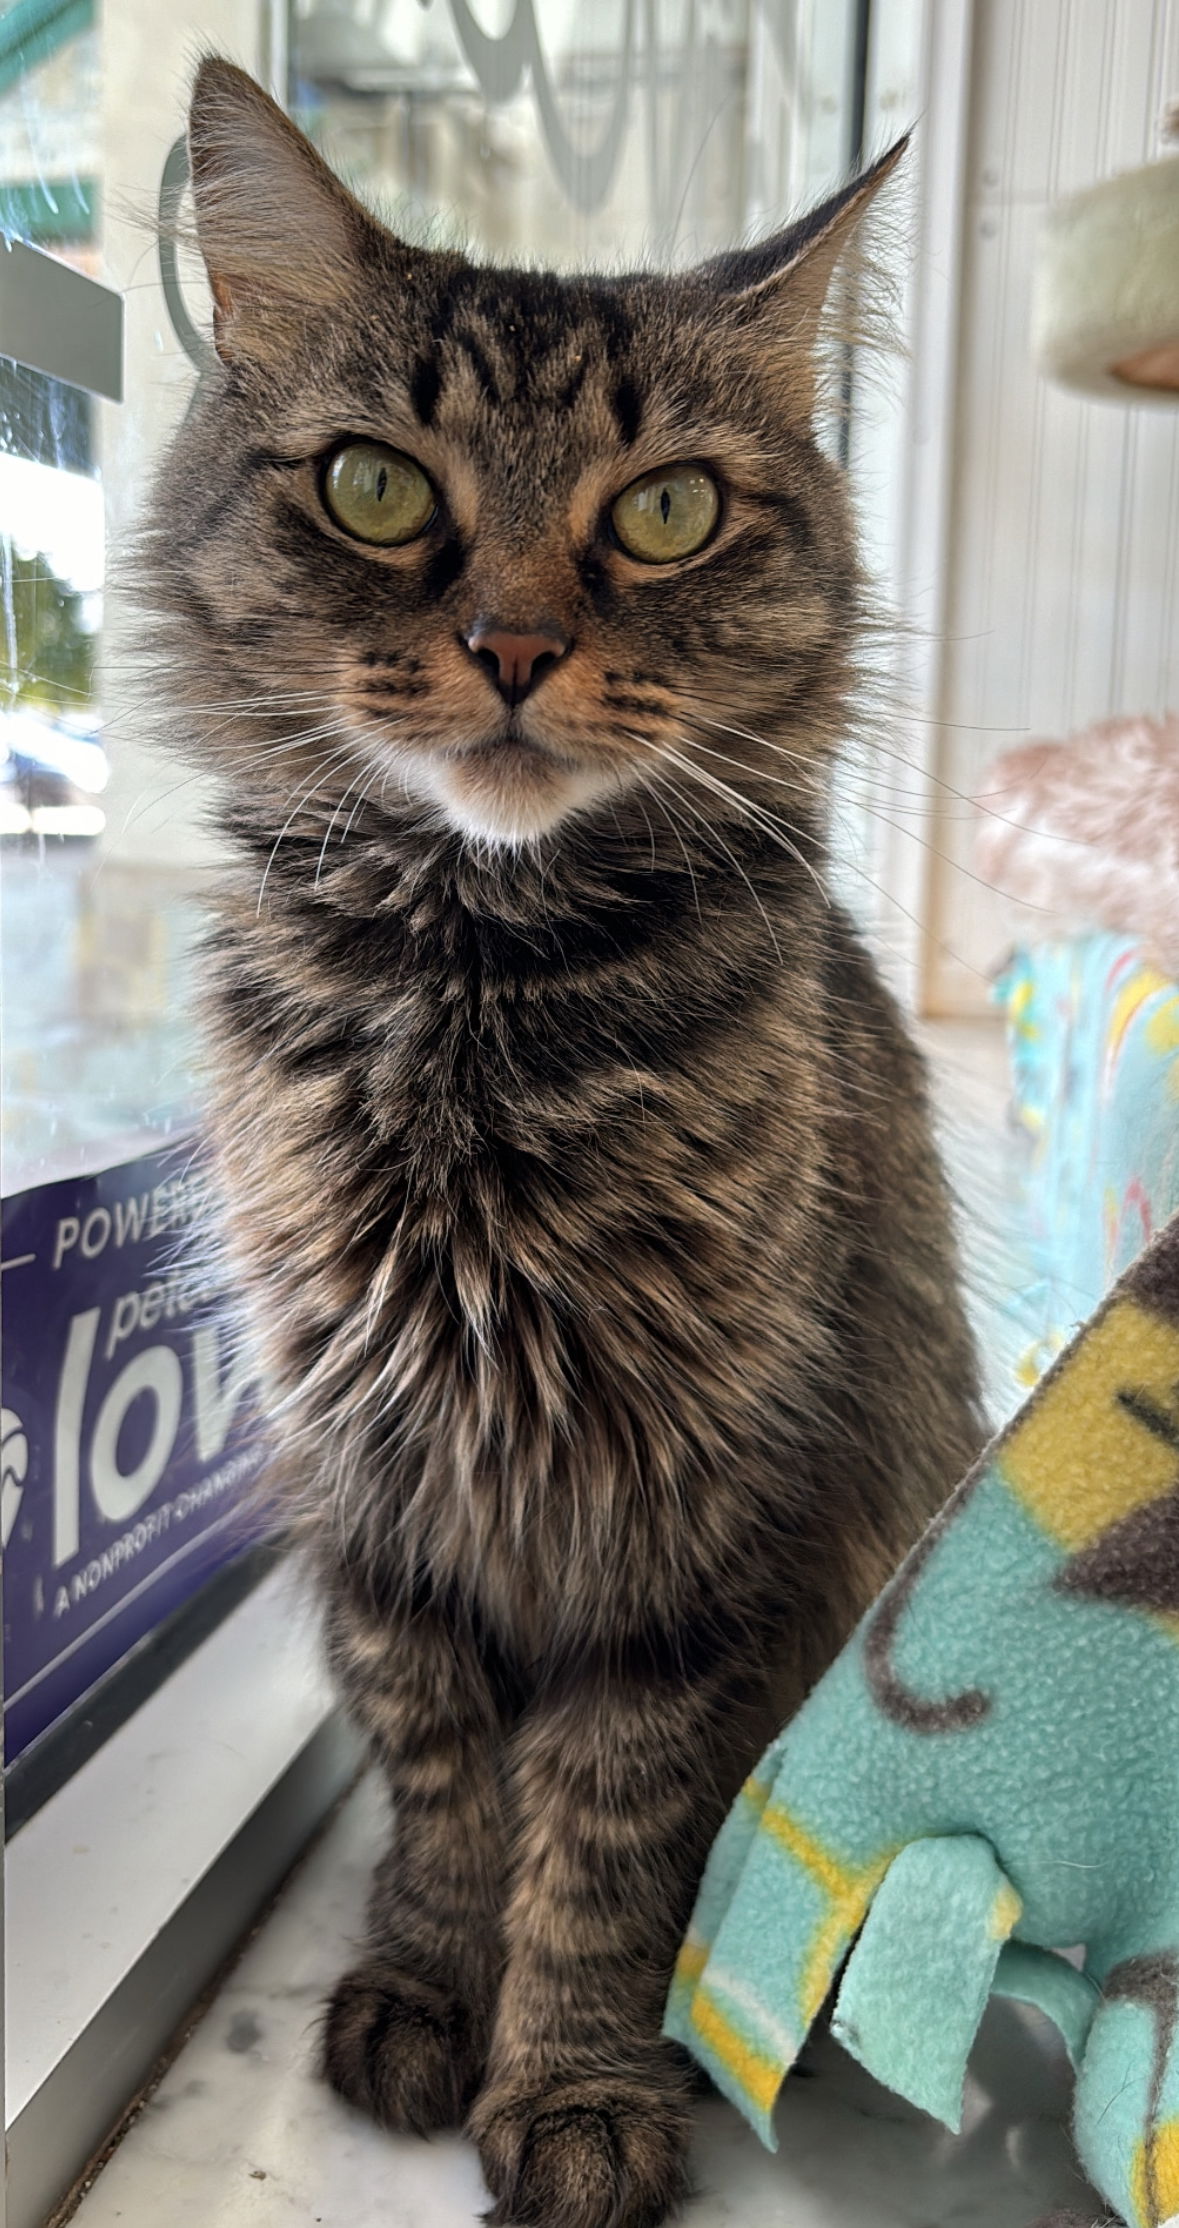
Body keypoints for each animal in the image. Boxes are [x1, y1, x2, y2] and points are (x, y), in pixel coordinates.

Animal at [144, 56, 985, 2228]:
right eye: (376, 486)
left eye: (664, 511)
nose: (513, 646)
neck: (473, 998)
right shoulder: (375, 1480)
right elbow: (449, 1784)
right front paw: (428, 1988)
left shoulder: (697, 1511)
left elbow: (604, 1832)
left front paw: (578, 2081)